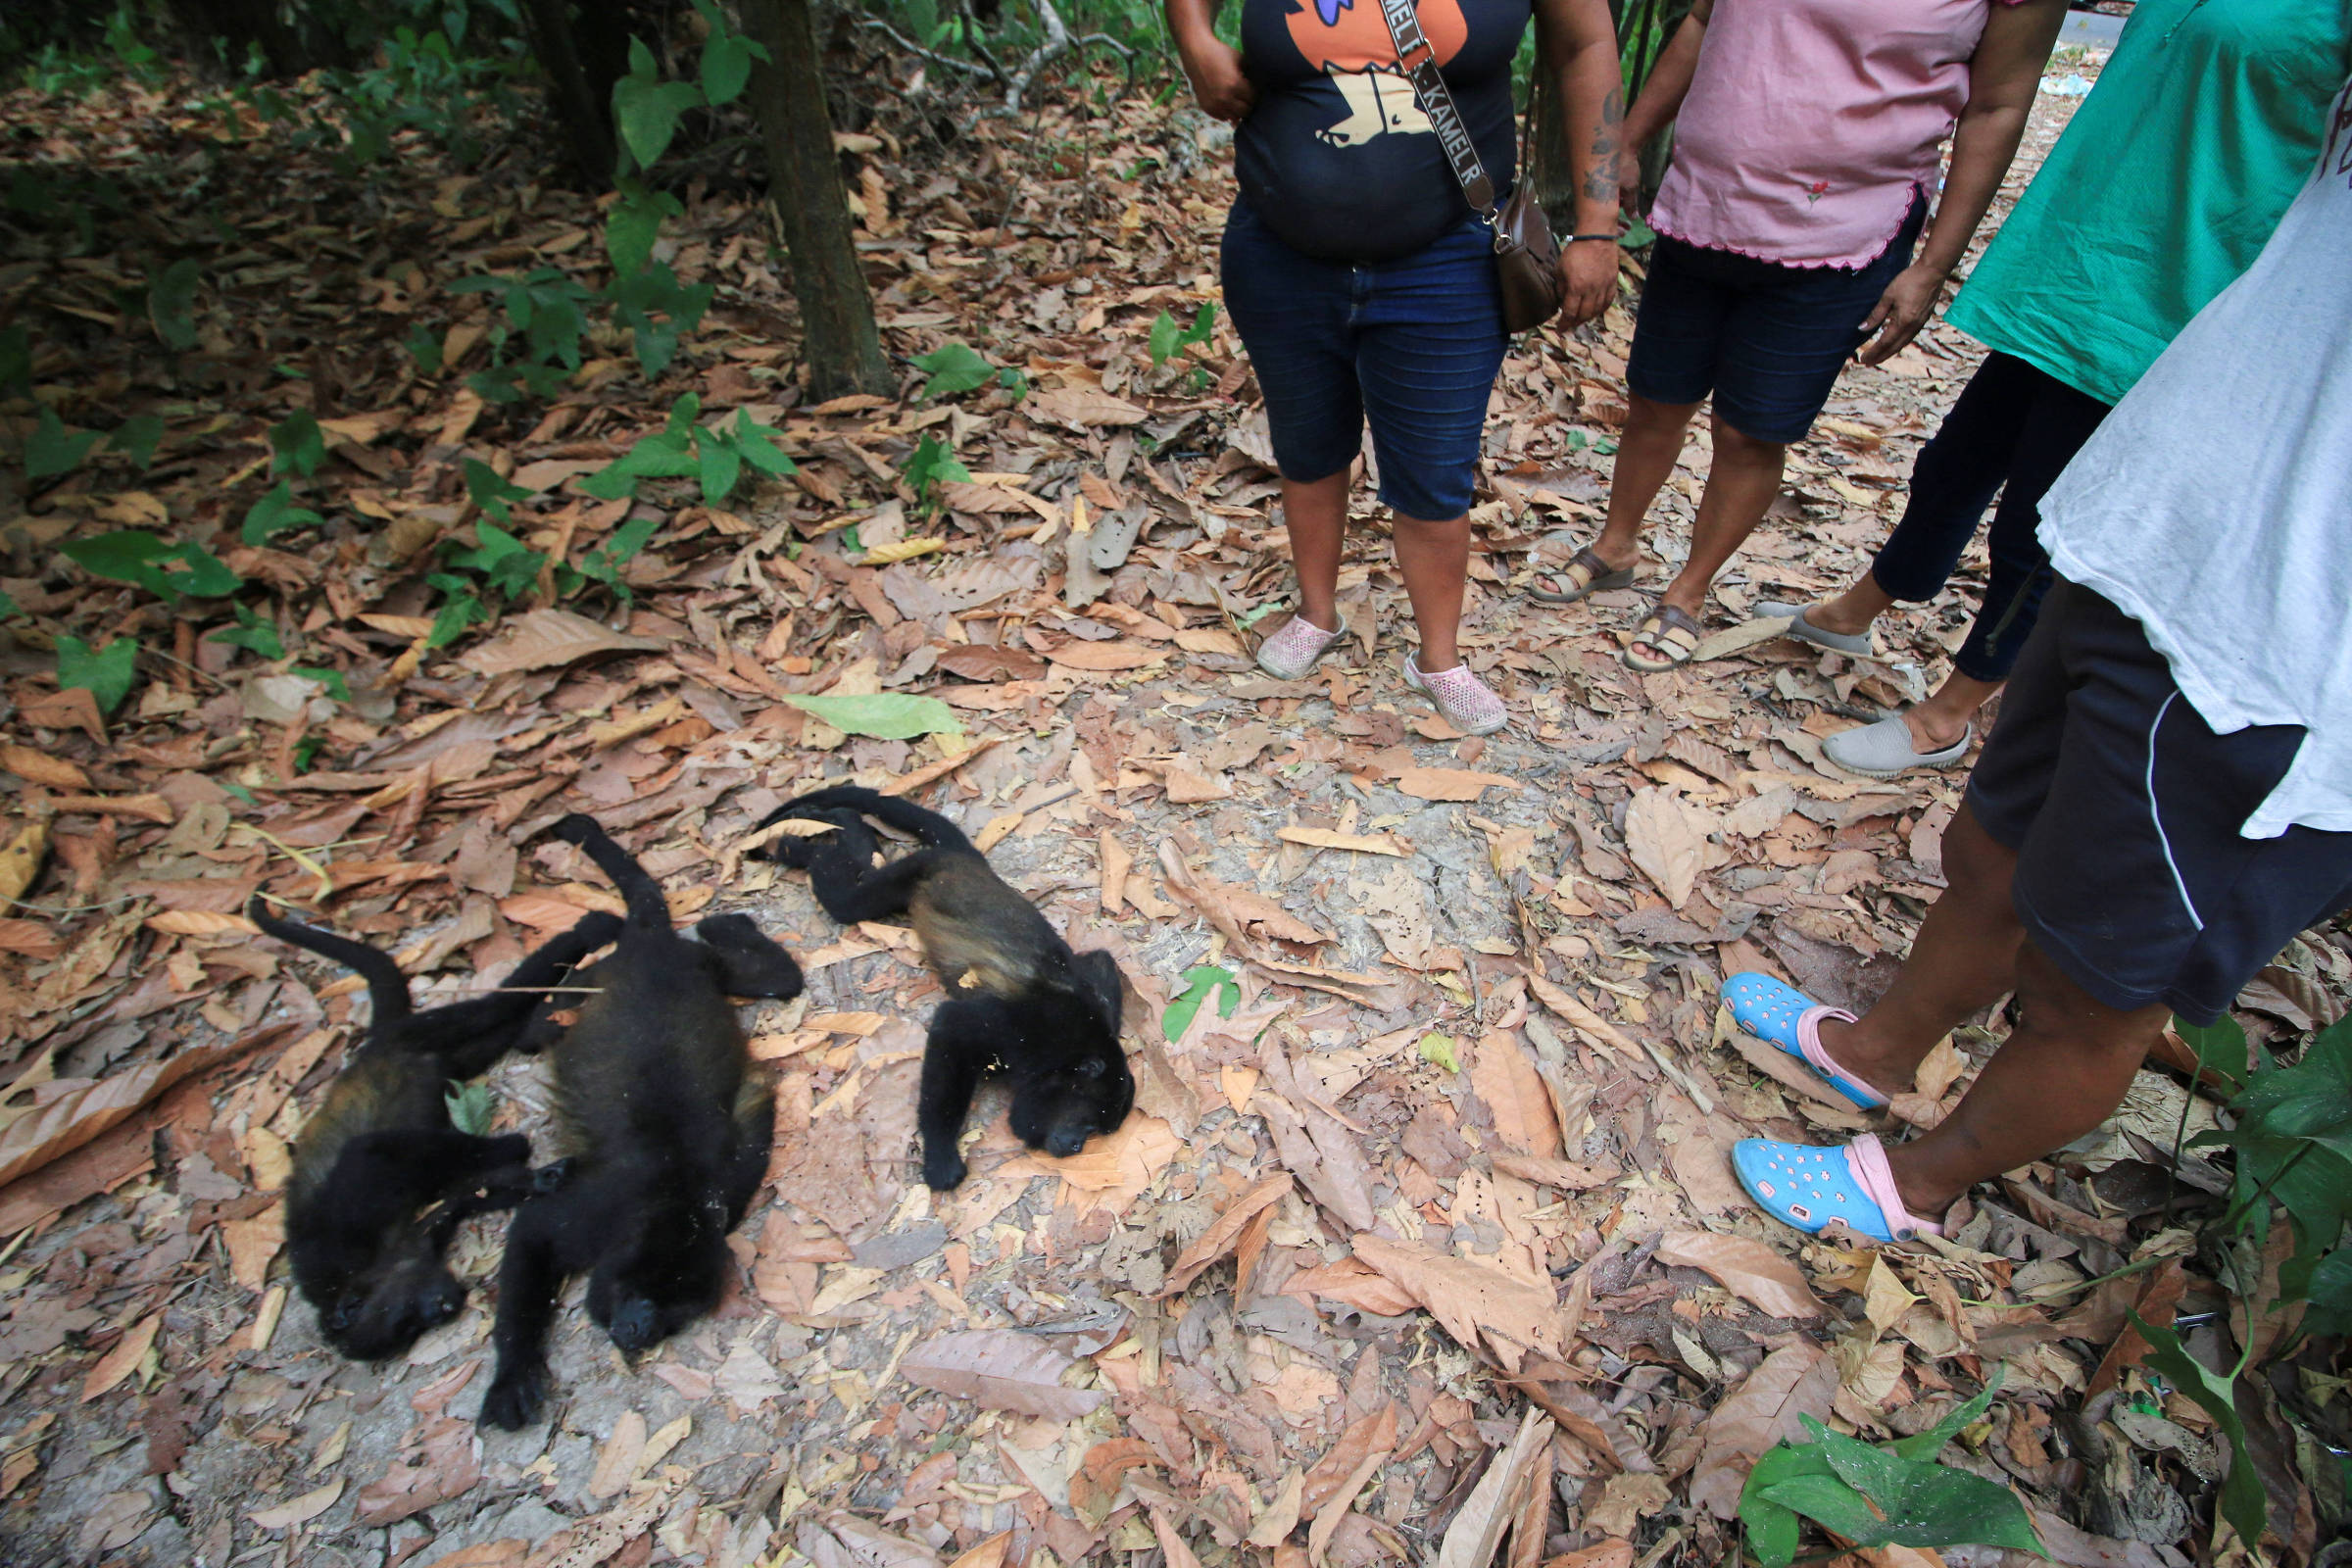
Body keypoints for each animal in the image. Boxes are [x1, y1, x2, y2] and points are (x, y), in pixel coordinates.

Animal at [250, 893, 625, 1363]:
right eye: (408, 1329)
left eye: (401, 1318)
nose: (443, 1309)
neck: (365, 1270)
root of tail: (371, 1047)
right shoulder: (416, 1241)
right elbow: (461, 1199)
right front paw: (540, 1178)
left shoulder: (344, 1216)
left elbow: (371, 1151)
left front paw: (512, 1146)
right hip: (441, 1056)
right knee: (498, 1031)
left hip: (416, 1034)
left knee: (488, 1009)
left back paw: (583, 935)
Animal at [477, 817, 808, 1429]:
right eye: (647, 1297)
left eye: (677, 1312)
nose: (639, 1331)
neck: (670, 1200)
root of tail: (651, 945)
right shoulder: (596, 1212)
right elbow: (532, 1231)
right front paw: (513, 1376)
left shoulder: (725, 1190)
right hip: (601, 981)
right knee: (536, 1030)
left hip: (704, 967)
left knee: (778, 978)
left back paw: (730, 924)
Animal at [743, 785, 1129, 1189]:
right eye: (1089, 1122)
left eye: (1095, 1131)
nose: (1075, 1145)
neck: (1072, 1051)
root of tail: (969, 862)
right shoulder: (1027, 1030)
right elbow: (952, 1026)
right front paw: (942, 1158)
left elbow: (1100, 960)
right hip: (917, 870)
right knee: (847, 900)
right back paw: (810, 843)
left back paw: (845, 827)